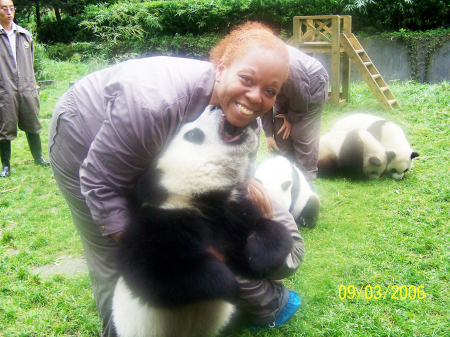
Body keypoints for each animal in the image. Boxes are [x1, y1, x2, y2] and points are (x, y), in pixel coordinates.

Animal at [112, 105, 294, 336]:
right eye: (192, 134)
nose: (213, 106)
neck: (200, 198)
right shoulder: (159, 222)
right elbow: (157, 270)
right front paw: (230, 286)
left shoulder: (232, 211)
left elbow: (267, 233)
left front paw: (260, 257)